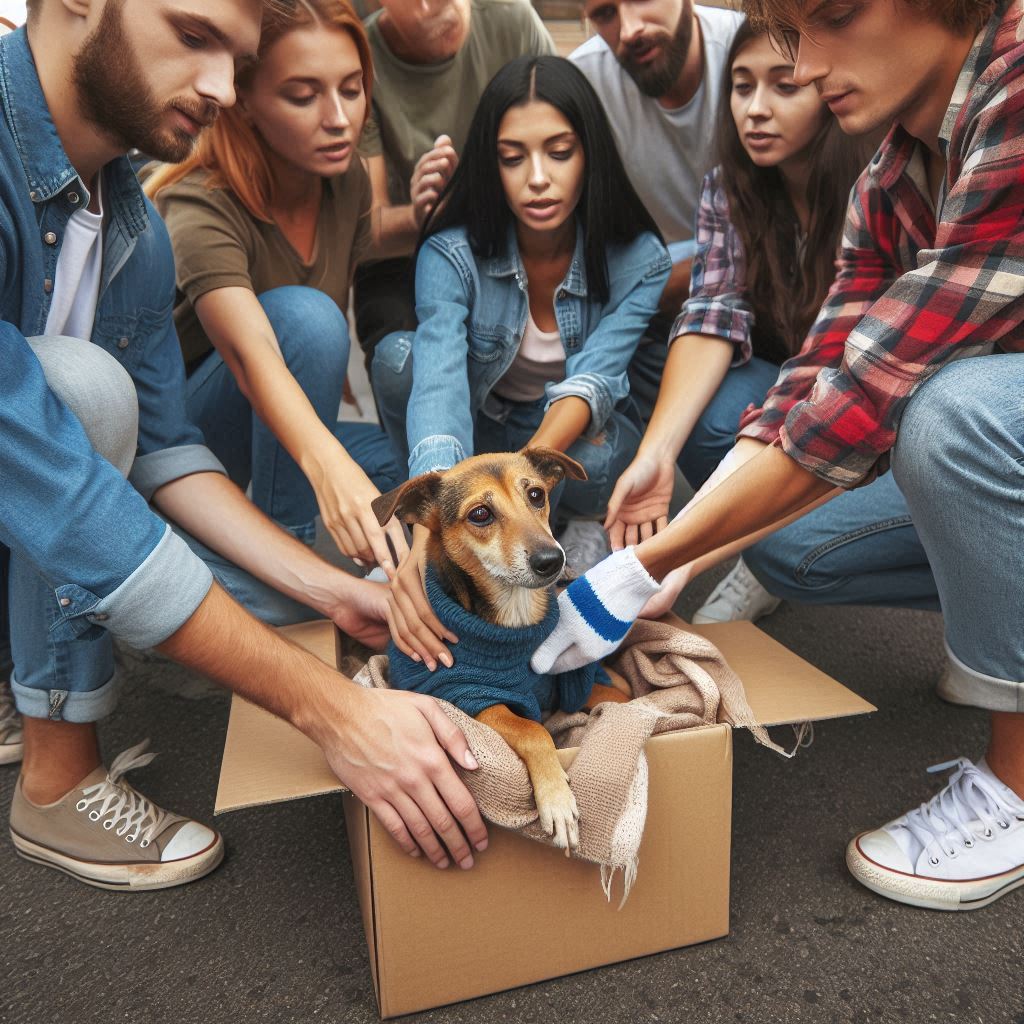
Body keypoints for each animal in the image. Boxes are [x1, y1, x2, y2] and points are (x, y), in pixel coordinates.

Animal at [372, 444, 626, 851]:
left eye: (536, 495)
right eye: (480, 514)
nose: (552, 560)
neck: (515, 616)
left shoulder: (569, 683)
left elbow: (622, 697)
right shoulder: (474, 697)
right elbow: (534, 730)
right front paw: (557, 800)